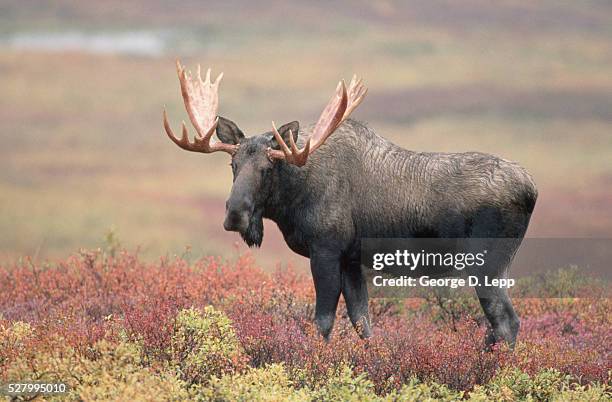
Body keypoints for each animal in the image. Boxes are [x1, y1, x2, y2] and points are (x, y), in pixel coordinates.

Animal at [161, 61, 536, 348]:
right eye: (232, 164)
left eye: (268, 168)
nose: (235, 216)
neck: (294, 199)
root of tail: (532, 189)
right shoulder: (353, 260)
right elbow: (362, 322)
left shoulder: (326, 251)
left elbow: (323, 321)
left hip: (488, 263)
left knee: (507, 322)